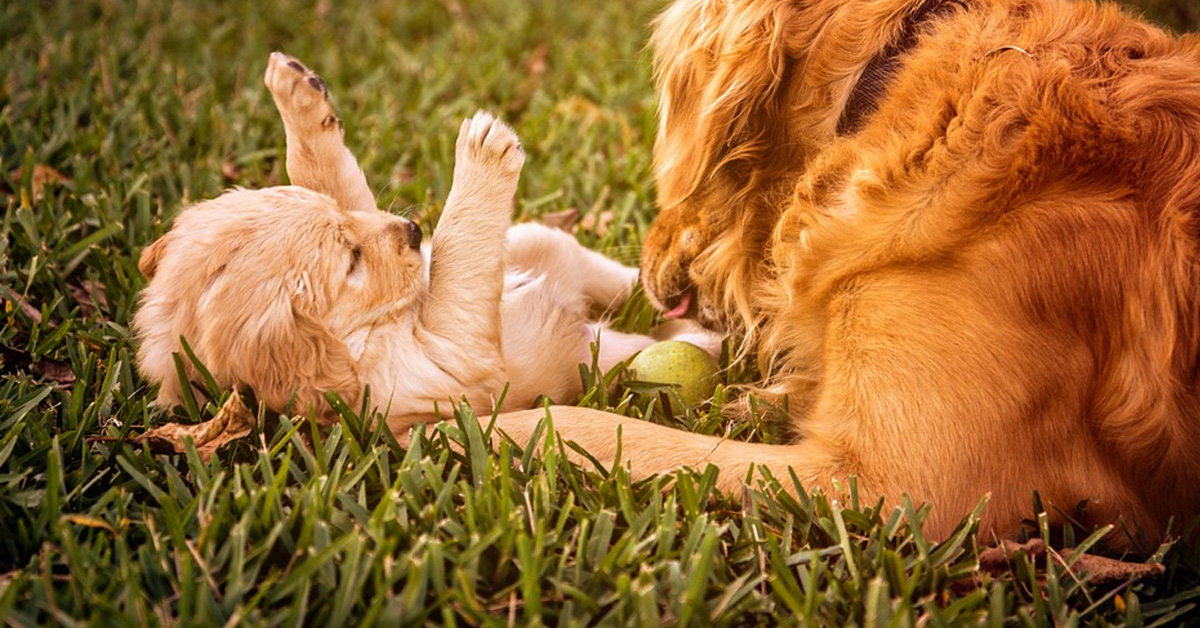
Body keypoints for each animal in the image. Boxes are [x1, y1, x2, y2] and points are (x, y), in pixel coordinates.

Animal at [137, 52, 676, 427]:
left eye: (344, 224)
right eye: (351, 262)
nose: (415, 231)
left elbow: (327, 173)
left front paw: (297, 96)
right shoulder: (449, 369)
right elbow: (454, 275)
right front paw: (482, 153)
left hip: (539, 240)